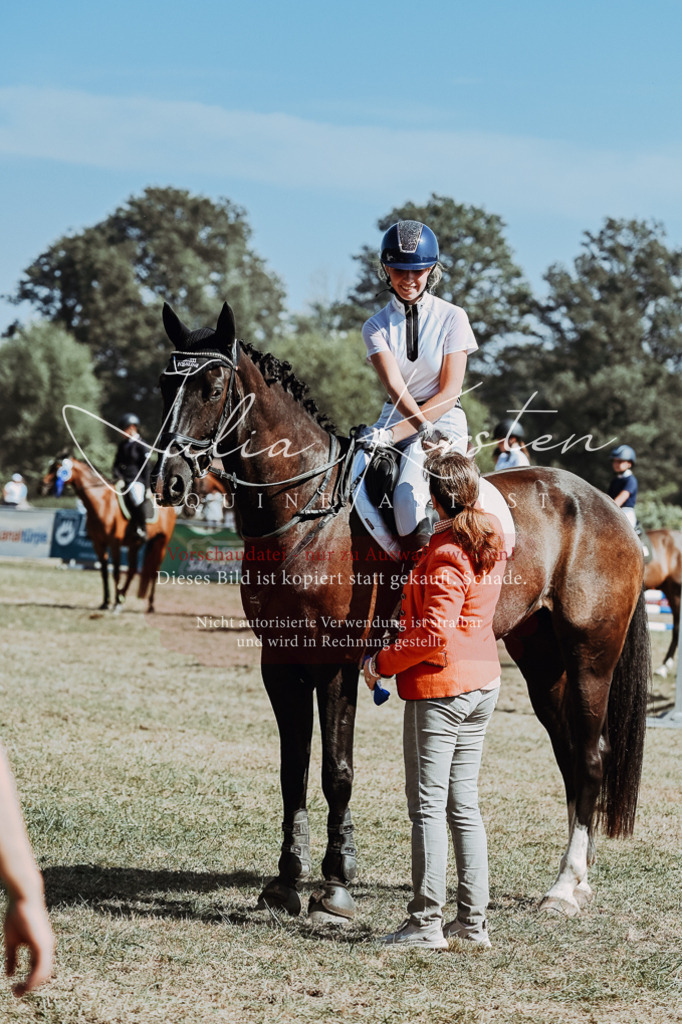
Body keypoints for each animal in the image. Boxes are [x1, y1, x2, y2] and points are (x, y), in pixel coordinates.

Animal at [43, 455, 176, 613]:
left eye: (57, 469)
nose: (42, 486)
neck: (101, 503)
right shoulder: (98, 544)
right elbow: (105, 572)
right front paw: (106, 602)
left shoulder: (115, 543)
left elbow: (116, 572)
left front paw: (116, 603)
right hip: (135, 545)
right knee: (132, 570)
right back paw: (123, 596)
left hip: (161, 544)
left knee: (154, 572)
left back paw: (150, 605)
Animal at [151, 302, 650, 924]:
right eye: (163, 384)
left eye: (213, 387)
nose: (169, 480)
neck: (307, 513)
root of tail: (603, 505)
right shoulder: (279, 663)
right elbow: (293, 770)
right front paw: (286, 882)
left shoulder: (335, 664)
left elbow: (336, 772)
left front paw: (335, 887)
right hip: (541, 659)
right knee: (570, 757)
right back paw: (575, 879)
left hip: (590, 658)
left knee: (590, 756)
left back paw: (565, 886)